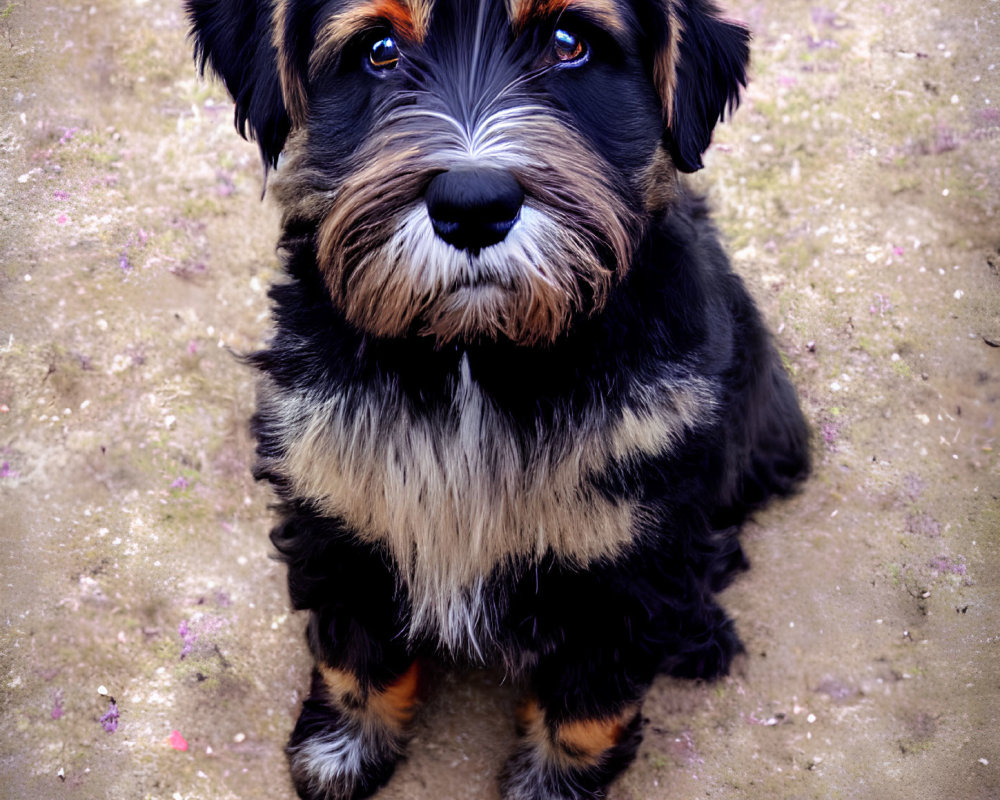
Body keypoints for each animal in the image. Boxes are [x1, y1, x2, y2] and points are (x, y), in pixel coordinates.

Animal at [189, 0, 812, 796]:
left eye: (569, 42)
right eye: (379, 49)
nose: (473, 205)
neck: (473, 357)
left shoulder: (630, 560)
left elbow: (588, 700)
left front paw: (552, 784)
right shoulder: (338, 502)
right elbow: (353, 649)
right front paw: (343, 745)